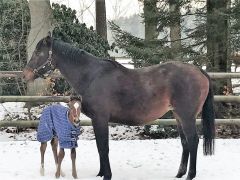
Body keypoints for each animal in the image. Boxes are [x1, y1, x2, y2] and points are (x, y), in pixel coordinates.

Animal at [23, 35, 216, 180]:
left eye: (39, 52)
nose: (25, 74)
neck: (91, 76)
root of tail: (199, 71)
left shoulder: (100, 119)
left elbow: (103, 147)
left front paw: (107, 175)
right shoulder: (97, 120)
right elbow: (100, 147)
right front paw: (100, 173)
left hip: (187, 116)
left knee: (193, 141)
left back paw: (190, 175)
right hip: (178, 116)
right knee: (185, 143)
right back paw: (179, 174)